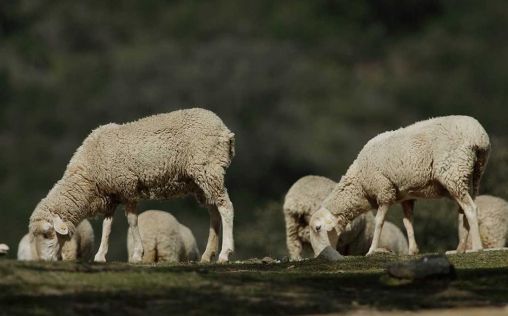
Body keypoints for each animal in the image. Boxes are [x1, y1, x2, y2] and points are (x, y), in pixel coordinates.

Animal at [27, 108, 234, 264]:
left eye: (47, 234)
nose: (43, 261)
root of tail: (224, 130)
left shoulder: (127, 187)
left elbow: (133, 221)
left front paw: (137, 254)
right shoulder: (111, 194)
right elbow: (107, 226)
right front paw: (100, 255)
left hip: (209, 169)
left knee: (226, 208)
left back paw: (225, 253)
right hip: (201, 181)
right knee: (214, 214)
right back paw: (208, 255)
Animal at [308, 116, 490, 256]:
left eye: (317, 228)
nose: (319, 256)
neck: (360, 184)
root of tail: (479, 136)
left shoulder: (384, 191)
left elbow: (379, 221)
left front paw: (371, 250)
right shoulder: (405, 197)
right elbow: (407, 222)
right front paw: (412, 251)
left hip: (454, 172)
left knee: (471, 209)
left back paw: (476, 248)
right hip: (472, 176)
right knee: (464, 211)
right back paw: (459, 249)